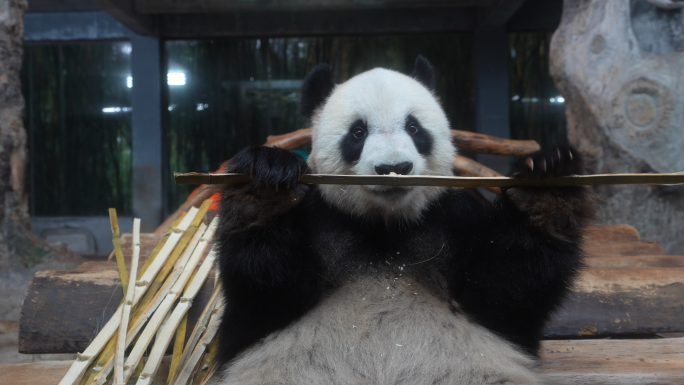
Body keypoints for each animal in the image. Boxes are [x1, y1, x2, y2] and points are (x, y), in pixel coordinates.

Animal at [214, 56, 592, 384]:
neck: (386, 227)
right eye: (357, 132)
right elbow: (263, 294)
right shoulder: (319, 219)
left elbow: (505, 293)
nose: (394, 167)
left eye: (414, 127)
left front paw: (545, 184)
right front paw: (265, 183)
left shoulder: (455, 218)